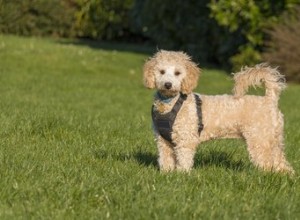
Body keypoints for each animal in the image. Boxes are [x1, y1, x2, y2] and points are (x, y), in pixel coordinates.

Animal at [144, 49, 294, 174]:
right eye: (162, 71)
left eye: (177, 73)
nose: (168, 84)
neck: (170, 104)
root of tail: (270, 99)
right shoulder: (163, 141)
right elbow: (166, 160)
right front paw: (167, 174)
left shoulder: (186, 139)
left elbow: (184, 159)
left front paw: (182, 175)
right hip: (274, 139)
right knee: (281, 162)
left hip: (259, 140)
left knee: (267, 163)